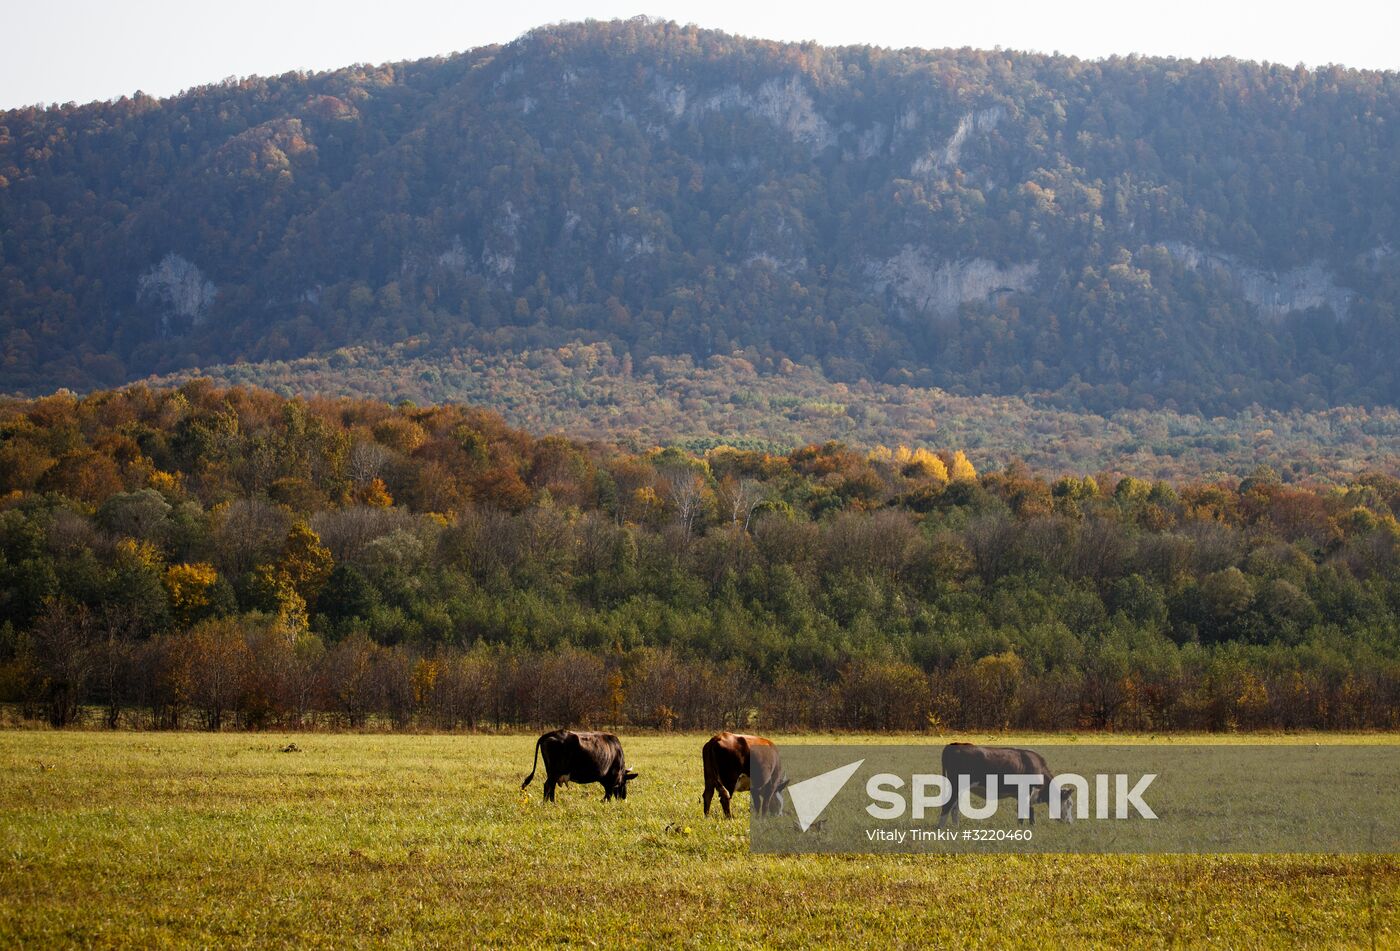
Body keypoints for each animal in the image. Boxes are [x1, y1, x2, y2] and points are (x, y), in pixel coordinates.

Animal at [940, 745, 1069, 823]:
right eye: (1069, 804)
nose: (1069, 822)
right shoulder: (1027, 791)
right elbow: (1024, 811)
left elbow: (1029, 811)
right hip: (956, 787)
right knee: (947, 806)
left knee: (954, 808)